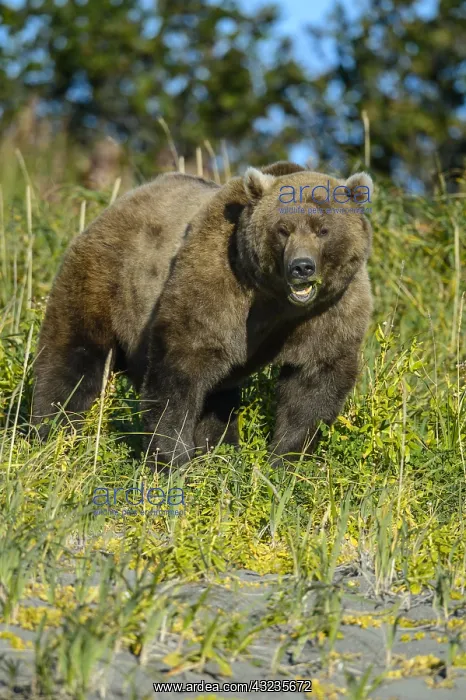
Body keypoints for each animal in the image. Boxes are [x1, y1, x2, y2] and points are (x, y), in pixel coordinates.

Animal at [32, 161, 373, 469]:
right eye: (283, 229)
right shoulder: (218, 283)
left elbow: (315, 380)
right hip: (105, 282)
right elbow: (182, 368)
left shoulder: (331, 310)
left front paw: (288, 460)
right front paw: (172, 457)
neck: (276, 301)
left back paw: (220, 452)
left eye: (322, 230)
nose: (301, 267)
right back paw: (50, 434)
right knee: (72, 361)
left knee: (218, 400)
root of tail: (117, 205)